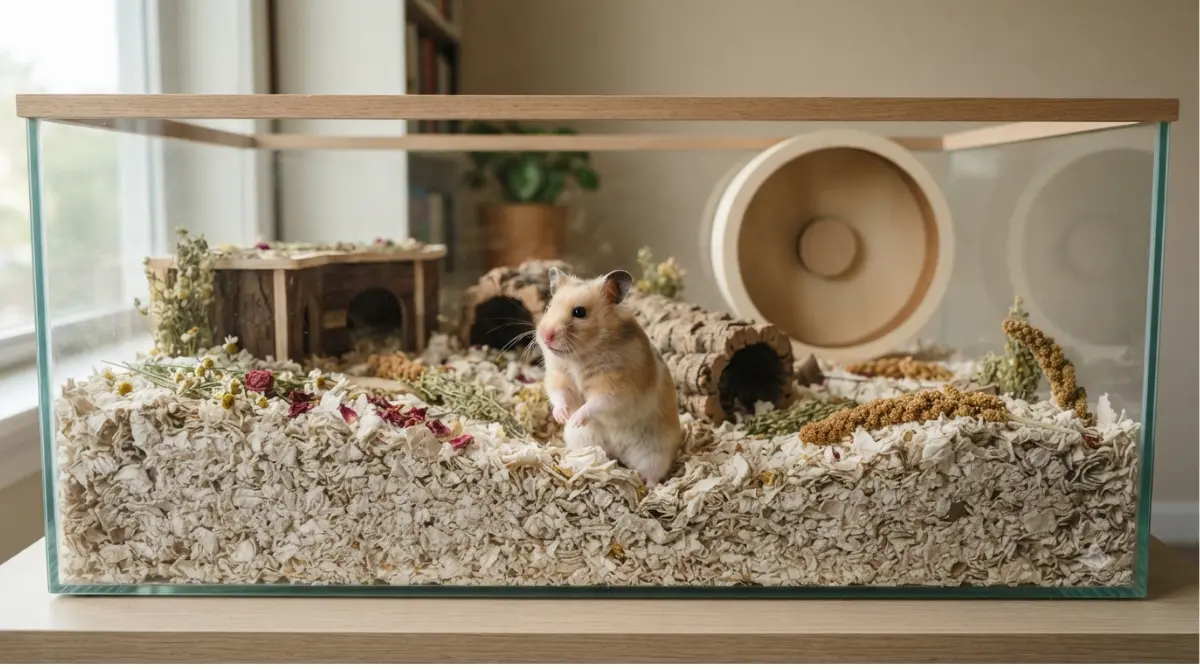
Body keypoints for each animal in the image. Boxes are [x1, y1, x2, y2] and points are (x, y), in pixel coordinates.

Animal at [535, 266, 683, 487]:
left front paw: (576, 418)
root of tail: (618, 452)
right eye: (549, 307)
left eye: (579, 312)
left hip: (654, 452)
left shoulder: (617, 388)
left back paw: (649, 489)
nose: (546, 335)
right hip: (583, 441)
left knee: (652, 473)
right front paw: (562, 417)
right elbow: (560, 395)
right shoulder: (559, 377)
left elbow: (596, 403)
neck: (579, 357)